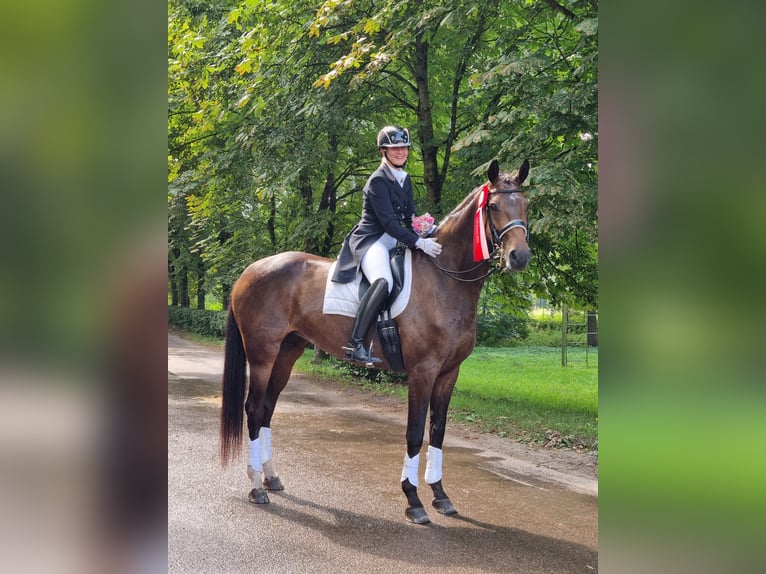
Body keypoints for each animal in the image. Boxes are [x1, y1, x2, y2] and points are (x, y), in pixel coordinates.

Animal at [222, 159, 532, 528]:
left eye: (526, 204)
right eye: (494, 207)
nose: (519, 257)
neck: (444, 279)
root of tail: (250, 271)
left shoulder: (449, 373)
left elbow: (438, 431)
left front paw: (441, 496)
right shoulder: (422, 371)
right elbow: (415, 432)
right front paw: (413, 501)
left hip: (287, 352)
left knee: (268, 409)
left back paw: (271, 478)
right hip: (262, 355)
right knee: (255, 410)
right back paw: (257, 487)